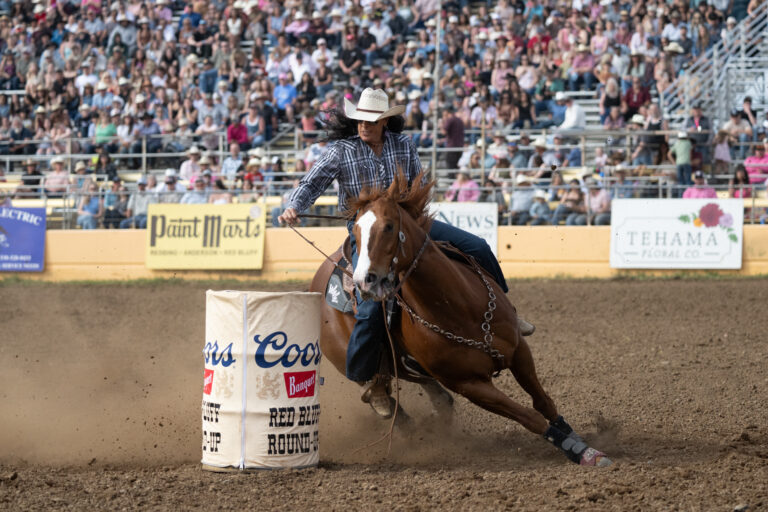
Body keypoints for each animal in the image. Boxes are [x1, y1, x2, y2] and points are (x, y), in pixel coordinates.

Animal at [308, 171, 612, 466]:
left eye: (389, 227)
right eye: (356, 232)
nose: (364, 282)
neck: (460, 309)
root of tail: (321, 275)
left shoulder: (519, 352)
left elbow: (543, 402)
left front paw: (578, 440)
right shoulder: (471, 385)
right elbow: (531, 417)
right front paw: (578, 450)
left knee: (430, 392)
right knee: (383, 398)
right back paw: (390, 409)